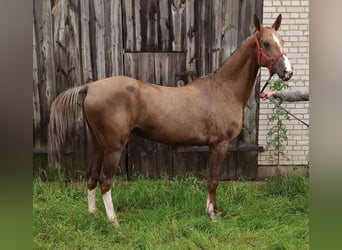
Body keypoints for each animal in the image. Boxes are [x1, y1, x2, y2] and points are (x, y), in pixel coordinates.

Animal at [48, 14, 292, 228]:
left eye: (282, 41)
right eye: (266, 43)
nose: (287, 72)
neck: (223, 90)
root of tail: (89, 87)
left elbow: (214, 179)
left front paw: (216, 210)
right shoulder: (219, 144)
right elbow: (213, 179)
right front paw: (211, 215)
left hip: (100, 145)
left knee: (91, 177)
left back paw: (93, 215)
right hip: (113, 147)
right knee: (105, 181)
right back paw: (114, 222)